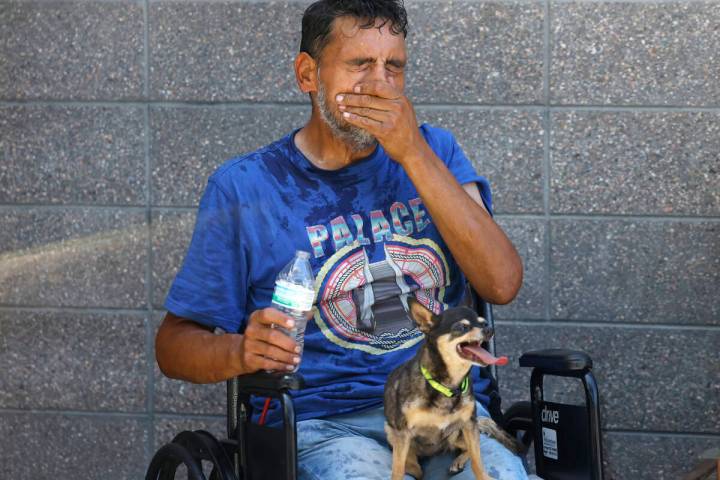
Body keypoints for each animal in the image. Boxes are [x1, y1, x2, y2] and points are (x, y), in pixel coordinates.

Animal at [382, 298, 516, 478]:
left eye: (484, 323)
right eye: (462, 327)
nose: (489, 329)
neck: (447, 386)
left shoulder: (468, 424)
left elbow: (477, 460)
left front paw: (483, 477)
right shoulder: (402, 432)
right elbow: (397, 469)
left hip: (457, 433)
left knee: (471, 448)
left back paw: (458, 461)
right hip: (391, 432)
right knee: (409, 460)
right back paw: (413, 467)